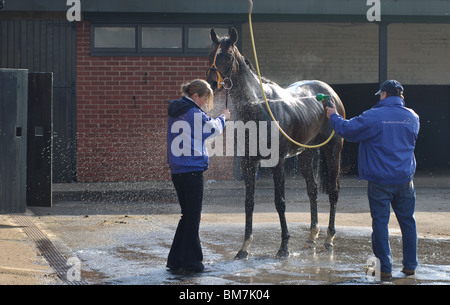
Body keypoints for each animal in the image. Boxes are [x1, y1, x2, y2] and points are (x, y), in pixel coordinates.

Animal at [206, 27, 346, 258]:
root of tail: (330, 94)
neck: (258, 106)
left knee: (334, 192)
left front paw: (284, 247)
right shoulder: (248, 162)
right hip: (306, 154)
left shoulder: (277, 162)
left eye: (228, 55)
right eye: (210, 55)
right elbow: (249, 202)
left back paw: (328, 240)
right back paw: (311, 238)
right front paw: (244, 248)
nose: (210, 85)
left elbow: (280, 202)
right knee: (313, 190)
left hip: (332, 150)